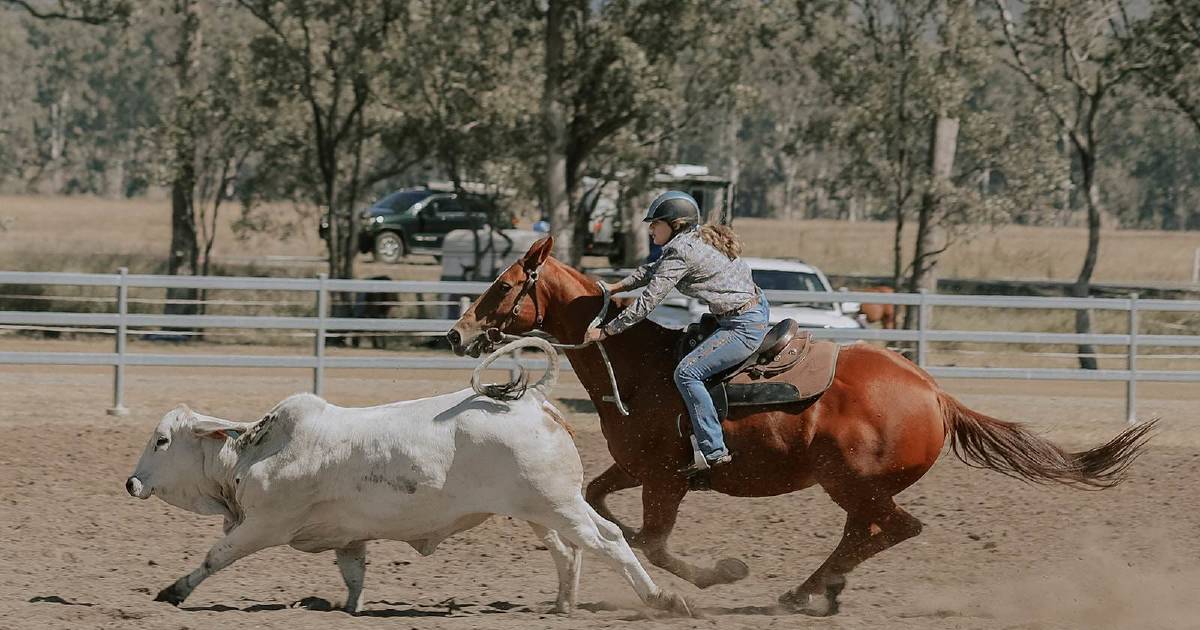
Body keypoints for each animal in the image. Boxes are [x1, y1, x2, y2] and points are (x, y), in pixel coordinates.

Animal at [448, 237, 1152, 614]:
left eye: (504, 285)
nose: (456, 333)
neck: (641, 365)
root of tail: (934, 392)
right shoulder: (635, 468)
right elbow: (602, 504)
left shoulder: (665, 478)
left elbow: (652, 540)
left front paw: (721, 574)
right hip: (855, 487)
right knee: (867, 532)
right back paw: (820, 591)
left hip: (851, 481)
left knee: (895, 528)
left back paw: (806, 592)